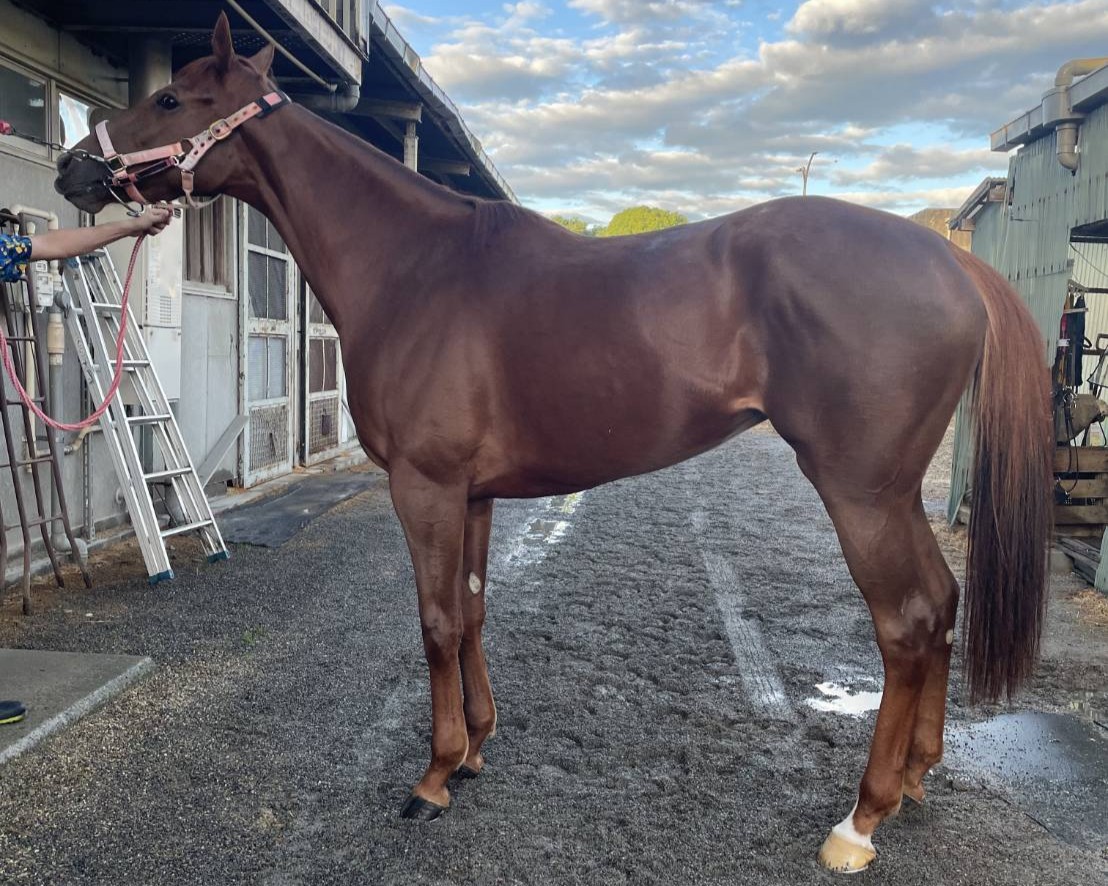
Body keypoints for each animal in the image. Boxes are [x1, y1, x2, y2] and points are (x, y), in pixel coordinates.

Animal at [54, 14, 1052, 874]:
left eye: (171, 99)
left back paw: (860, 821)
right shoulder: (474, 494)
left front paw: (432, 777)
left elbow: (435, 622)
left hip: (860, 490)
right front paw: (475, 752)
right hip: (890, 491)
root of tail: (952, 260)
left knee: (907, 621)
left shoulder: (424, 487)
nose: (73, 169)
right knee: (941, 604)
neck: (415, 269)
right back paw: (915, 781)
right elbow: (473, 612)